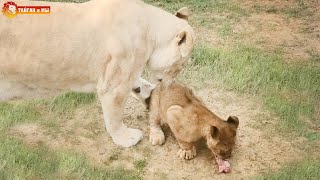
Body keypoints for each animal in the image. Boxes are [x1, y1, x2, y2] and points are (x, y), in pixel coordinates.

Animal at [0, 0, 195, 146]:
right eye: (181, 64)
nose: (171, 82)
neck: (150, 31)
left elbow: (138, 82)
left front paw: (147, 93)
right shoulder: (115, 83)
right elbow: (115, 114)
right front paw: (127, 138)